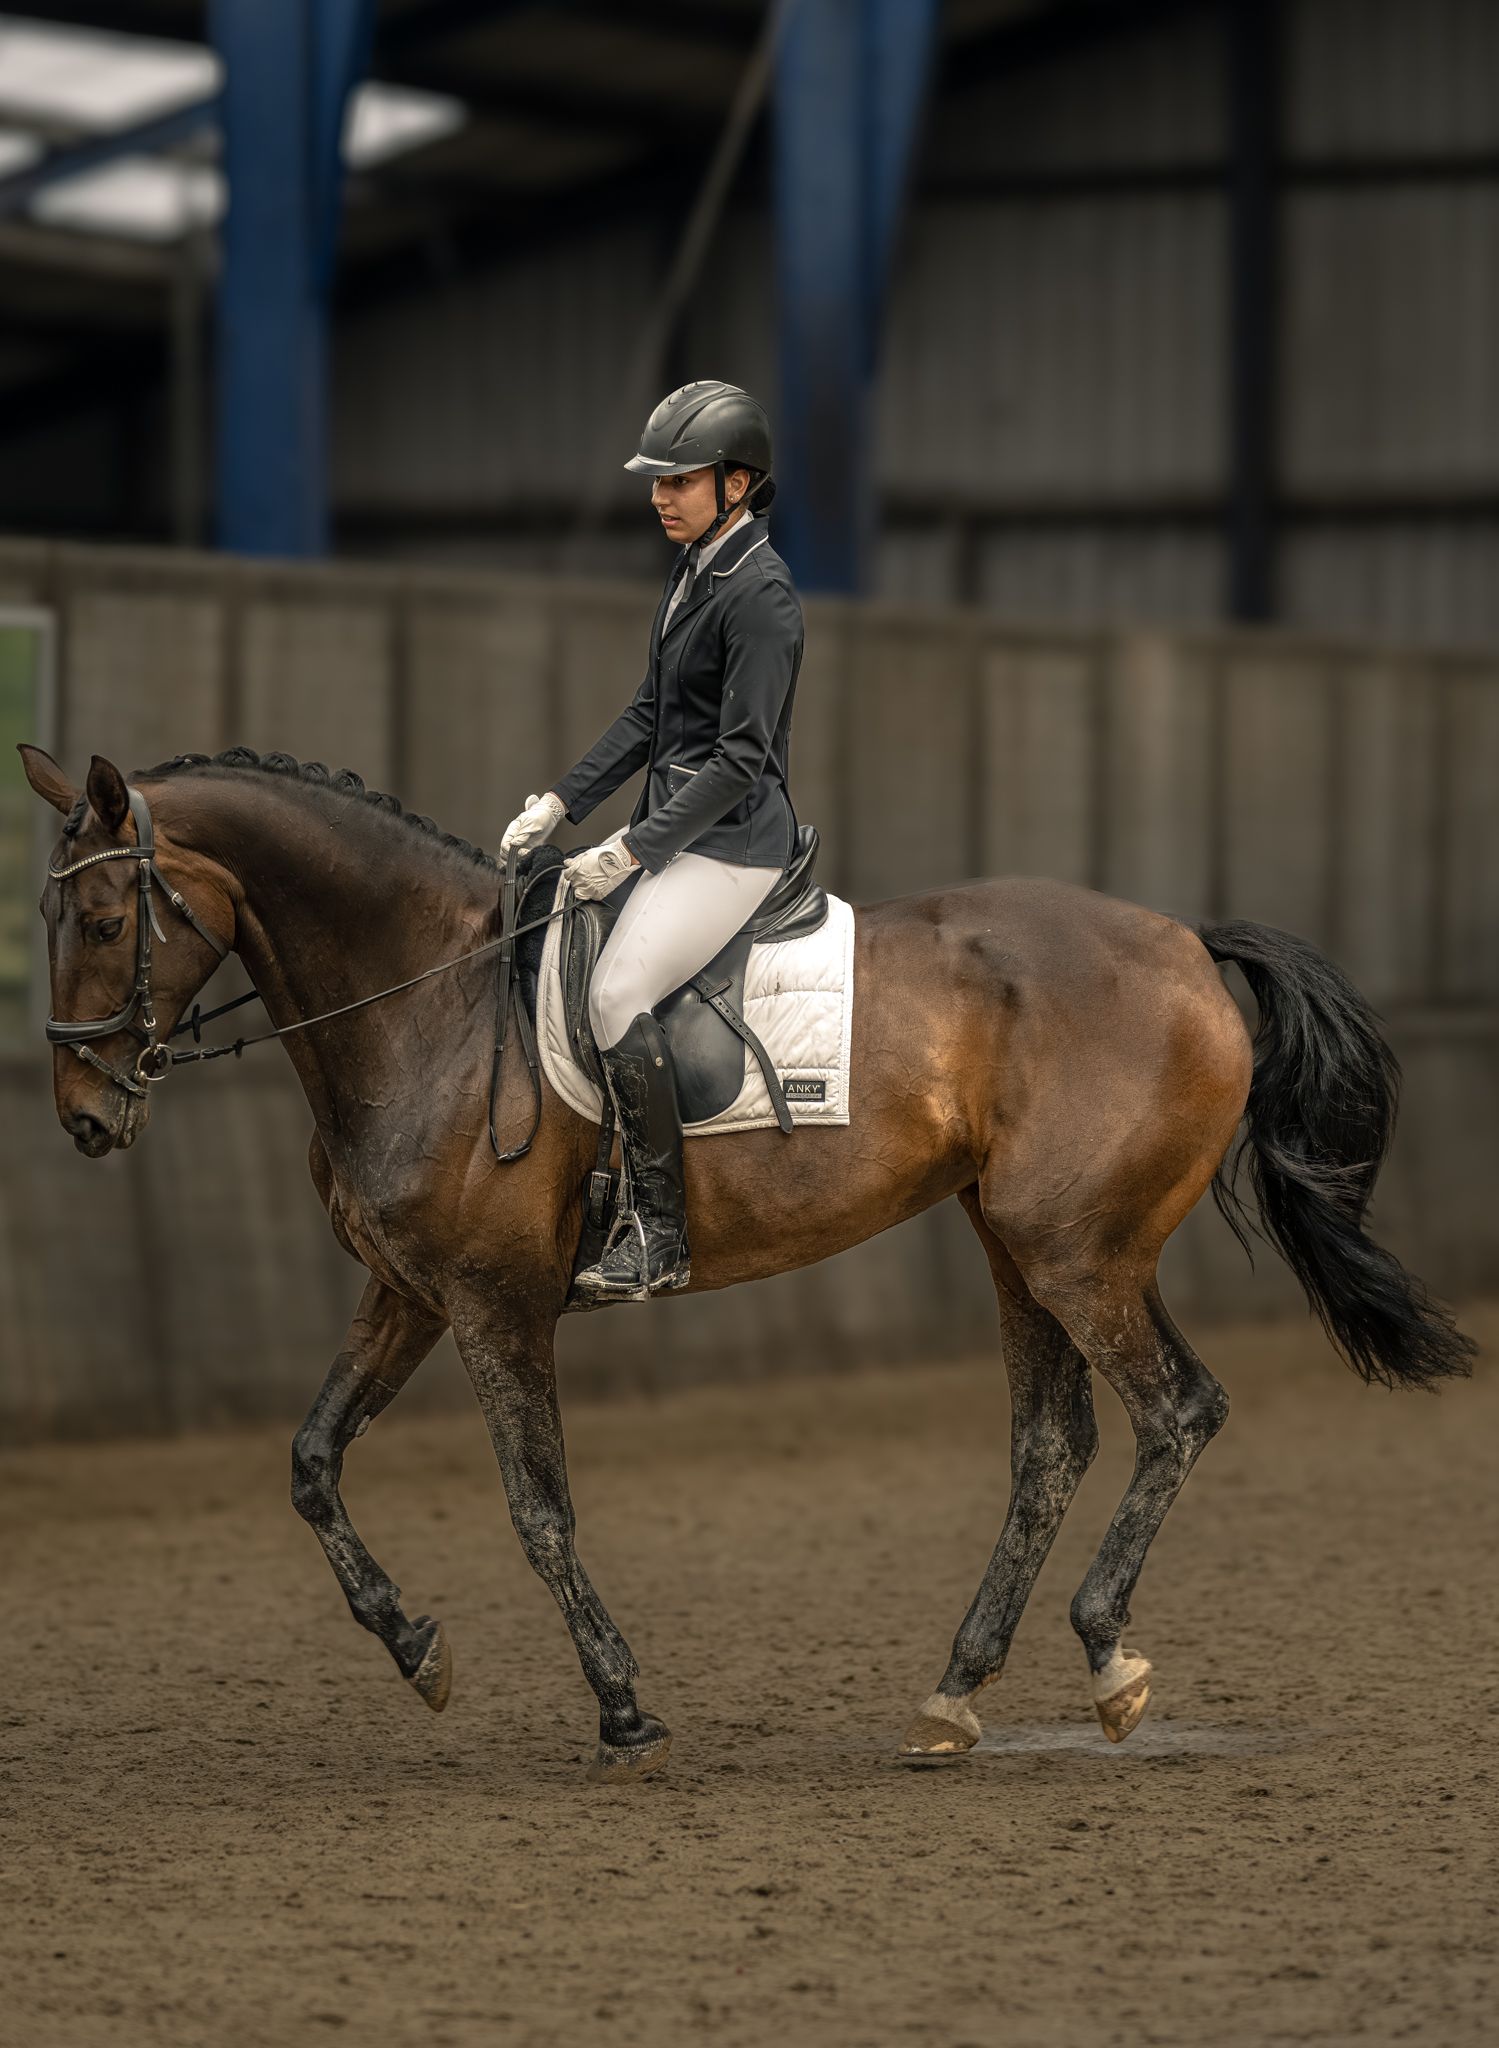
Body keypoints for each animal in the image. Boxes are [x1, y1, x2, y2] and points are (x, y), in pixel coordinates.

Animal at [22, 742, 1474, 1781]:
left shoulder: (496, 1306)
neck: (423, 999)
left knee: (1175, 1410)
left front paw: (620, 1707)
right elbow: (312, 1463)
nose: (82, 1117)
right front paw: (416, 1647)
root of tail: (1181, 940)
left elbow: (538, 1510)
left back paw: (1105, 1661)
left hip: (1078, 1250)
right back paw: (953, 1694)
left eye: (99, 916)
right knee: (1050, 1447)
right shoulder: (407, 1293)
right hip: (1015, 1243)